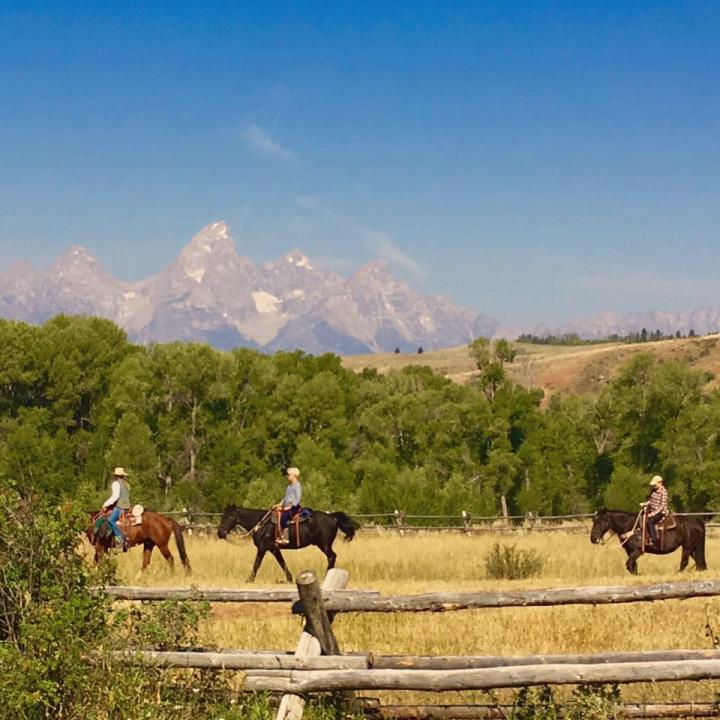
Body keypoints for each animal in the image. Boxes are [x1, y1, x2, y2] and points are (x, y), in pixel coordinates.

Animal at [215, 504, 358, 584]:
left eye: (230, 516)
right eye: (222, 516)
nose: (220, 533)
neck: (263, 524)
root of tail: (333, 517)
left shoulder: (263, 548)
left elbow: (257, 563)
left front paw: (249, 579)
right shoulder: (274, 549)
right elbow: (282, 562)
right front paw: (289, 579)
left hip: (324, 545)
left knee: (332, 556)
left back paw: (326, 576)